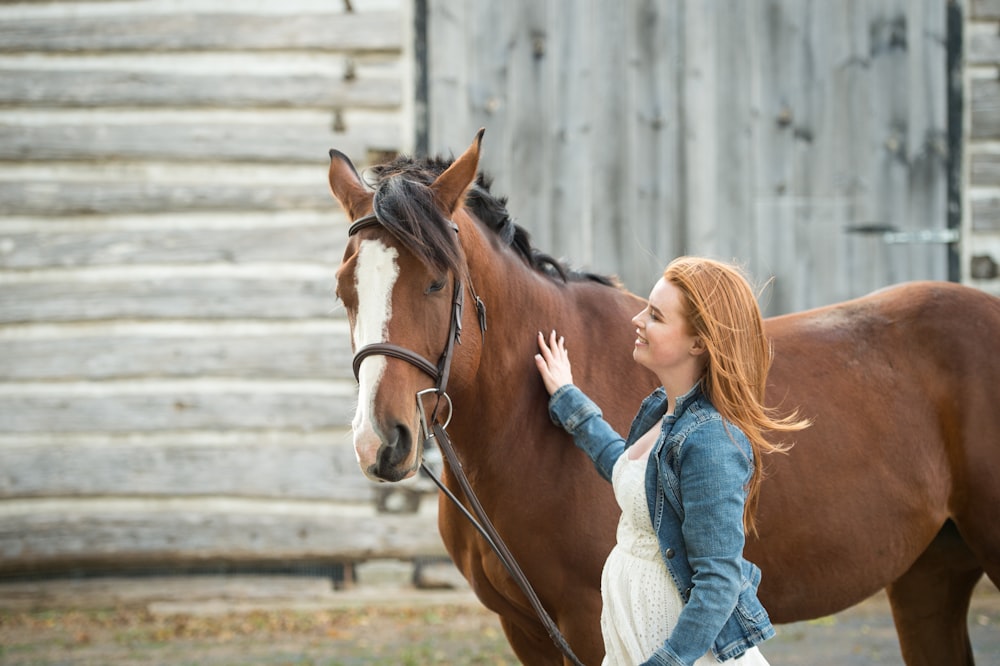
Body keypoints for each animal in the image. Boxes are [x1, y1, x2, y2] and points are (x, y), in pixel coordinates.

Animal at [330, 131, 1000, 664]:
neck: (523, 433)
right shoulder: (527, 631)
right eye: (344, 289)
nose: (380, 442)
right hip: (928, 577)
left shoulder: (586, 622)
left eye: (437, 281)